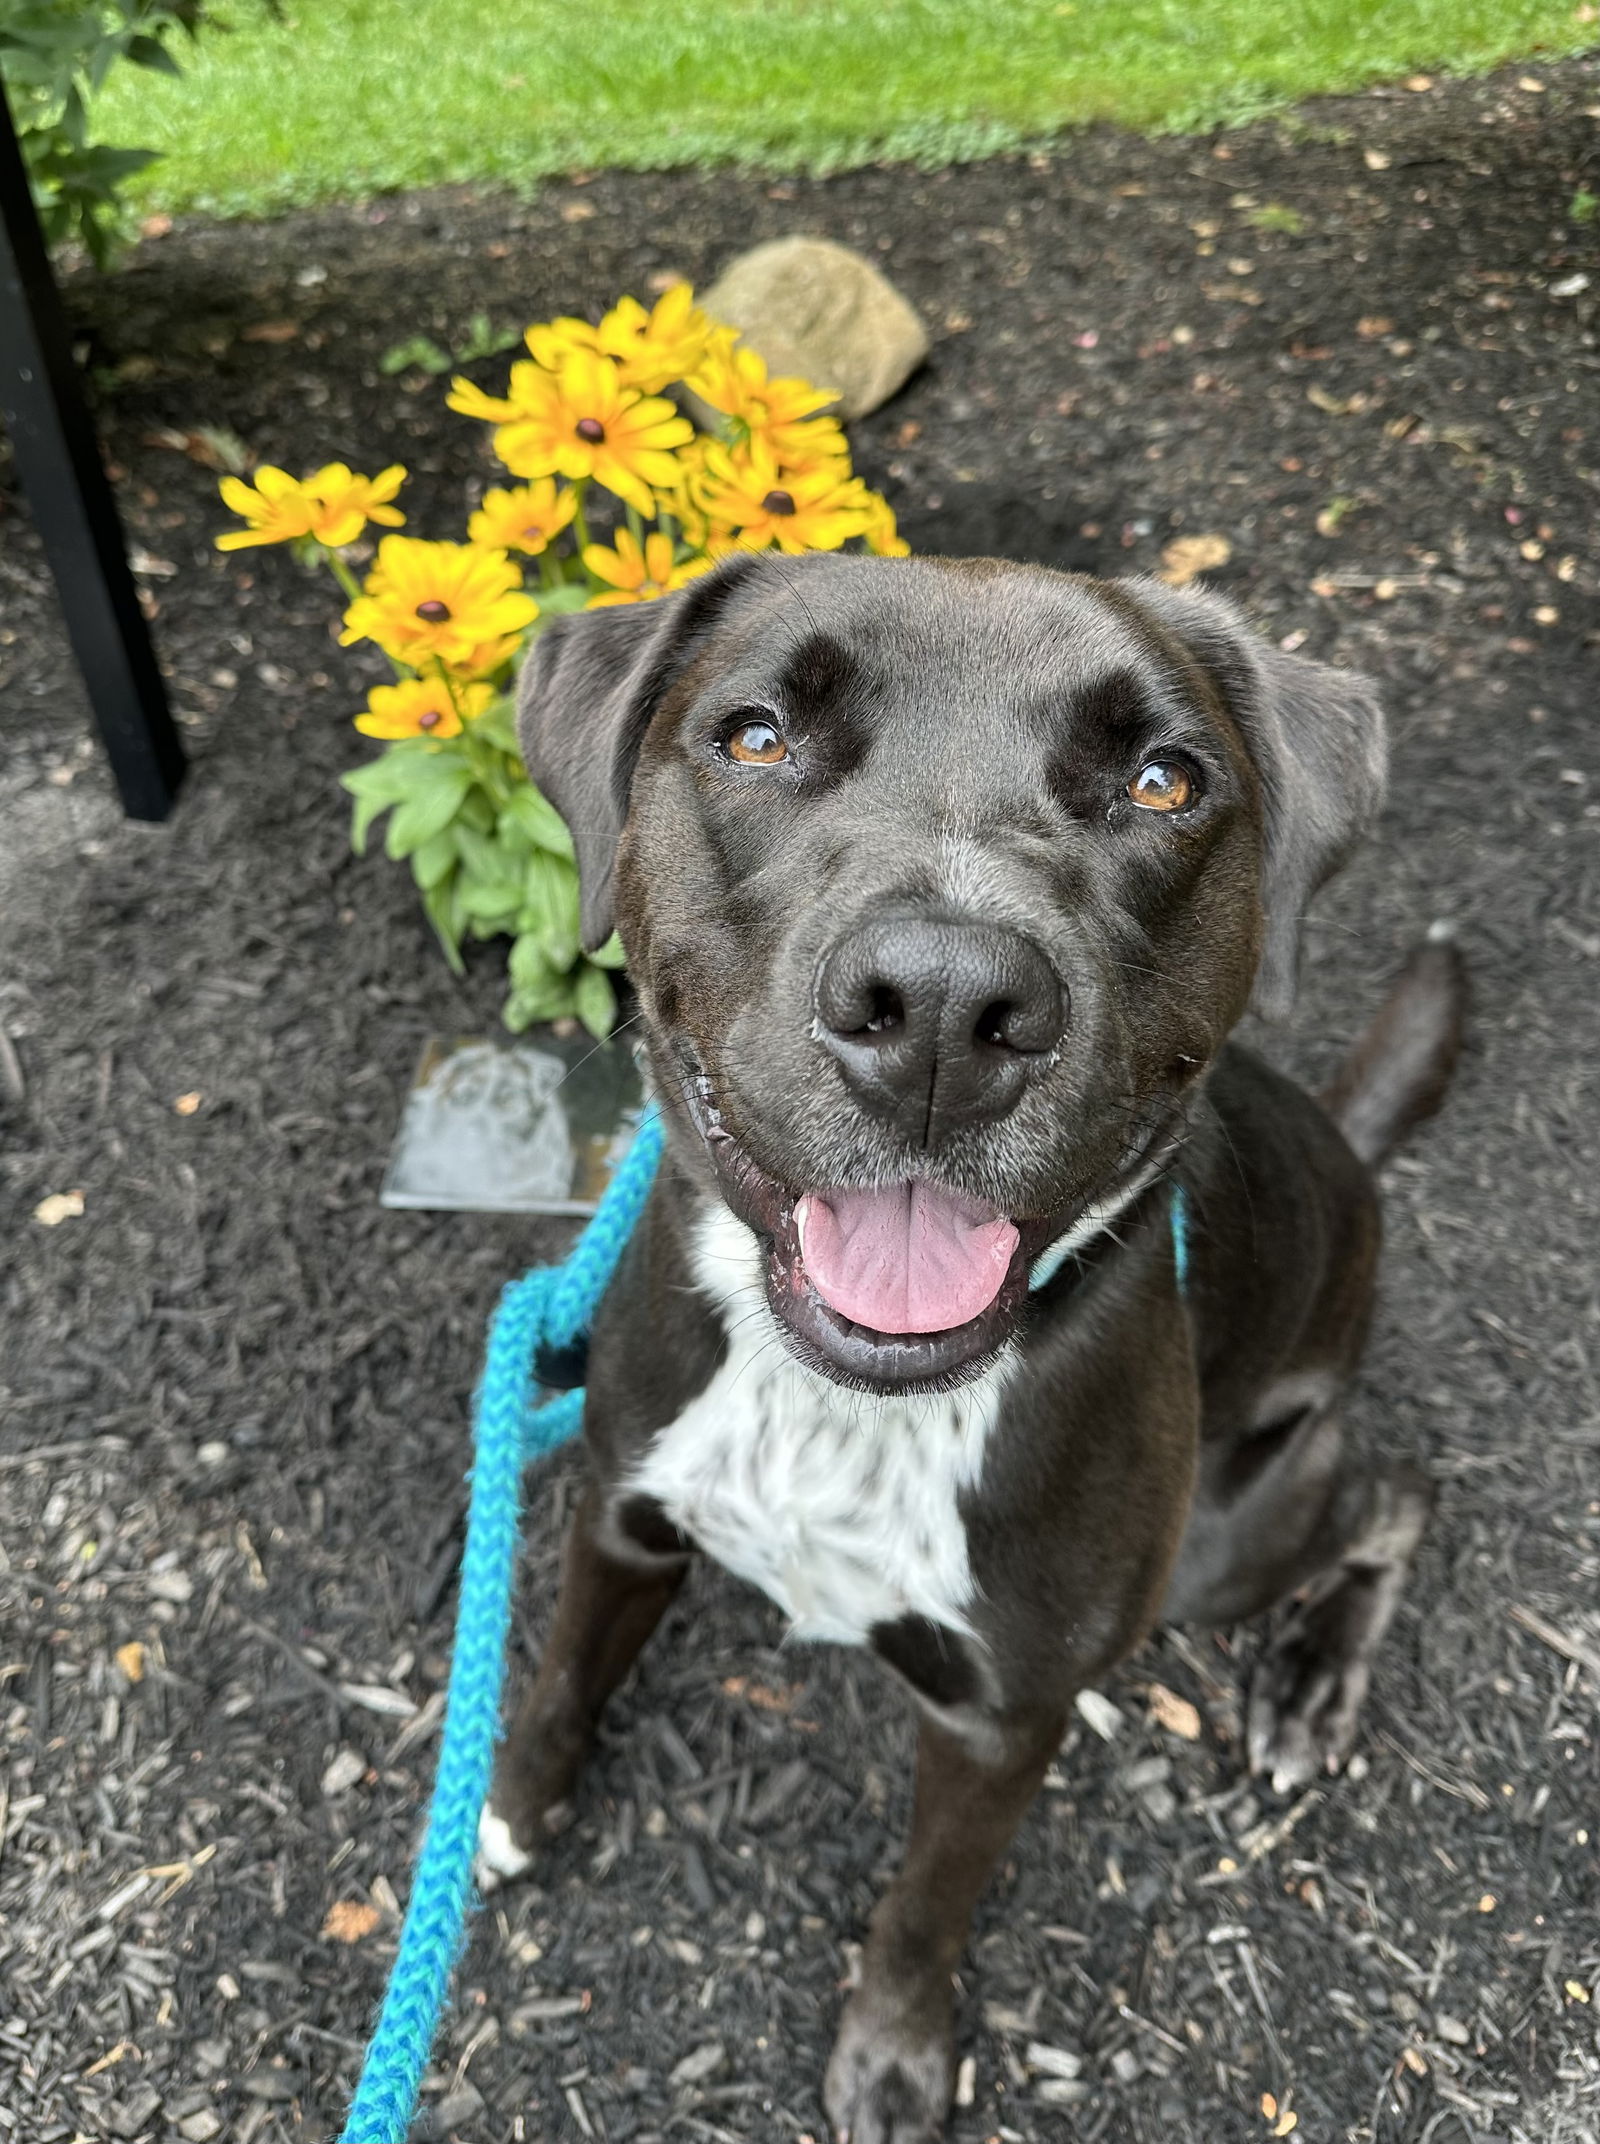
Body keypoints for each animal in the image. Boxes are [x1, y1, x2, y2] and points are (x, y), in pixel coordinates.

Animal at [469, 557, 1458, 2144]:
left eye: (1164, 779)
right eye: (755, 738)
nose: (940, 1004)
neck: (838, 1403)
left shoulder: (1005, 1720)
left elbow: (927, 1906)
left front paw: (892, 2053)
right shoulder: (623, 1508)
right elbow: (562, 1672)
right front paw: (508, 1805)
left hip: (1218, 1544)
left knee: (1396, 1495)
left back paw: (1312, 1681)